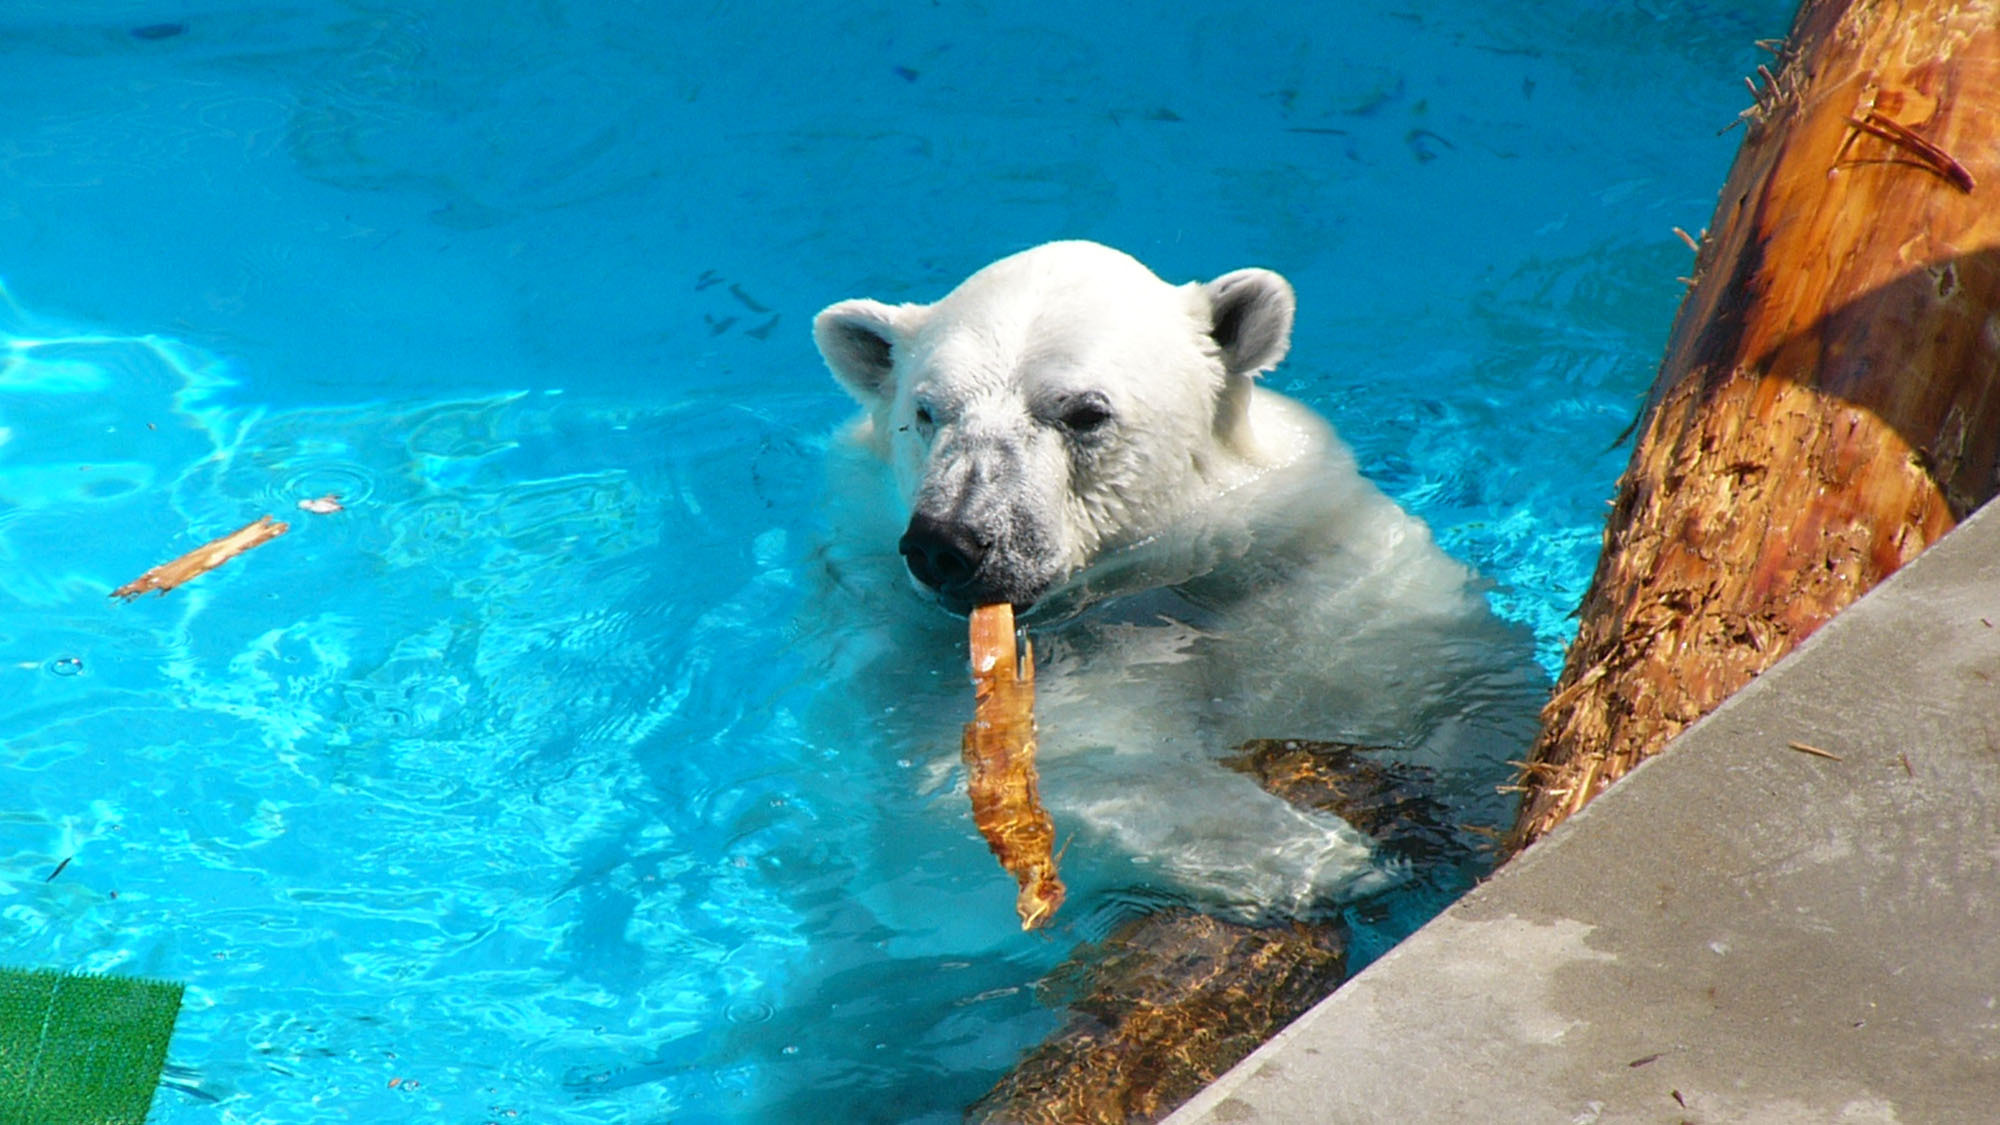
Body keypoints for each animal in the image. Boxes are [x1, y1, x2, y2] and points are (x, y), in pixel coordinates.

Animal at [808, 241, 1528, 916]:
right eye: (927, 412)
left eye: (1085, 412)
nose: (946, 543)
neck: (1162, 577)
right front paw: (1316, 855)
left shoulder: (1323, 573)